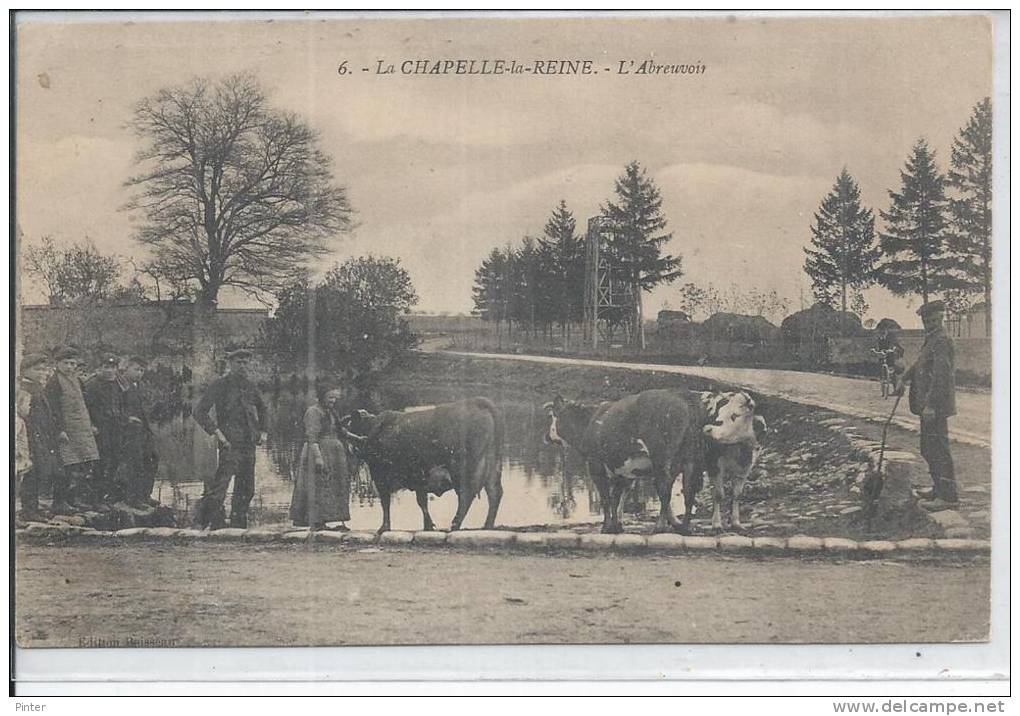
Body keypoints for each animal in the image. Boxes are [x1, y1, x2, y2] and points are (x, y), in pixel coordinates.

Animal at [340, 397, 503, 534]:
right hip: (492, 466)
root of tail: (477, 402)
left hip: (463, 469)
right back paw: (487, 525)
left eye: (353, 426)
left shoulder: (381, 477)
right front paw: (428, 526)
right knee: (494, 493)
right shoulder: (419, 478)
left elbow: (385, 503)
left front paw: (384, 528)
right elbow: (422, 502)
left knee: (465, 496)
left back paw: (455, 525)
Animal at [546, 389, 705, 534]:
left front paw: (606, 527)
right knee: (688, 491)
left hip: (661, 459)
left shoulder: (595, 466)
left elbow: (606, 498)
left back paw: (659, 527)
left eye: (552, 416)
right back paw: (684, 527)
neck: (588, 423)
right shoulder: (622, 471)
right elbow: (616, 498)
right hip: (689, 459)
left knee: (665, 490)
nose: (546, 437)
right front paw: (616, 526)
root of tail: (681, 399)